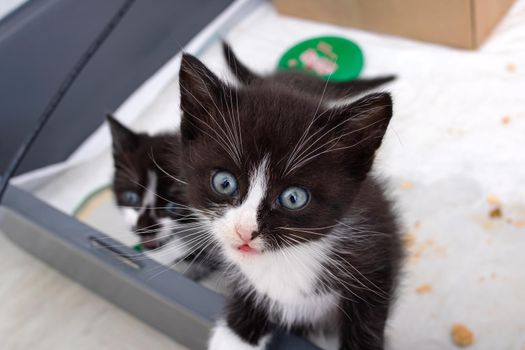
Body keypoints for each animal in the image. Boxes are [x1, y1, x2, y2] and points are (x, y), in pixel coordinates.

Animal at [176, 55, 402, 350]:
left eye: (293, 198)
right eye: (224, 183)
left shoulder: (375, 263)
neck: (287, 259)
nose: (244, 231)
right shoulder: (249, 284)